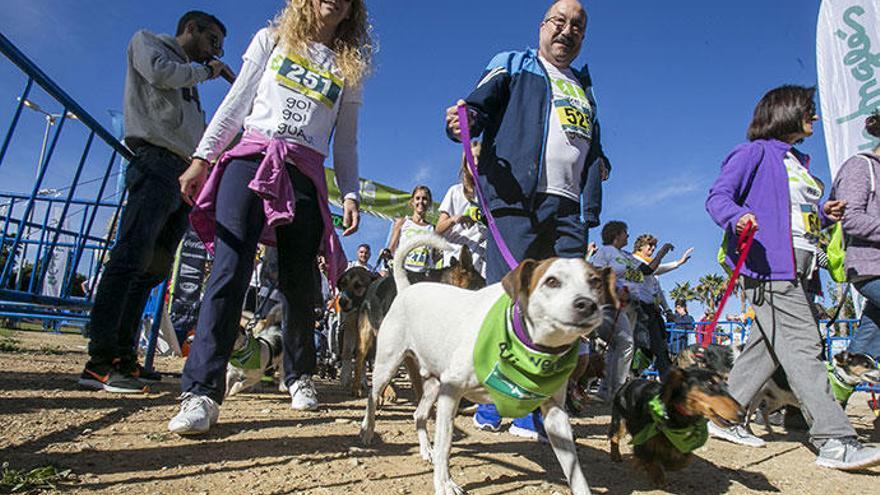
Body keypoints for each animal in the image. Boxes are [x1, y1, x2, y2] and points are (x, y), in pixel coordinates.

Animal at [360, 256, 616, 495]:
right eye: (551, 281)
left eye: (595, 282)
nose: (587, 304)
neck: (525, 346)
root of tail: (406, 289)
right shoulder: (451, 393)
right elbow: (445, 445)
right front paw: (444, 484)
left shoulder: (555, 414)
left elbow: (575, 470)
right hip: (387, 364)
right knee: (372, 396)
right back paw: (367, 431)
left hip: (433, 384)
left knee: (419, 414)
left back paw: (425, 450)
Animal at [612, 368, 744, 488]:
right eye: (709, 383)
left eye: (726, 385)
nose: (743, 414)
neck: (674, 414)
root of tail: (630, 381)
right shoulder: (642, 439)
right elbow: (649, 457)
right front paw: (657, 476)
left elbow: (684, 460)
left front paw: (667, 464)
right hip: (620, 422)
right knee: (614, 437)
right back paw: (616, 456)